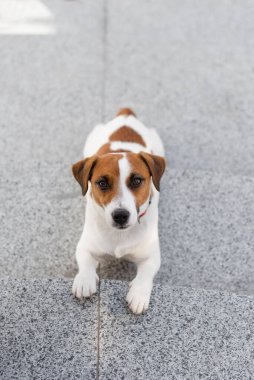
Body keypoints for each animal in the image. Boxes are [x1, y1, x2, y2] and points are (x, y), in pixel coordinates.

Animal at [72, 107, 167, 314]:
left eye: (137, 180)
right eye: (102, 183)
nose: (121, 215)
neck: (120, 236)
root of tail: (126, 114)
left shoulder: (152, 256)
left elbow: (146, 274)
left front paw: (139, 294)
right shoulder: (85, 245)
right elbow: (85, 261)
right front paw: (85, 279)